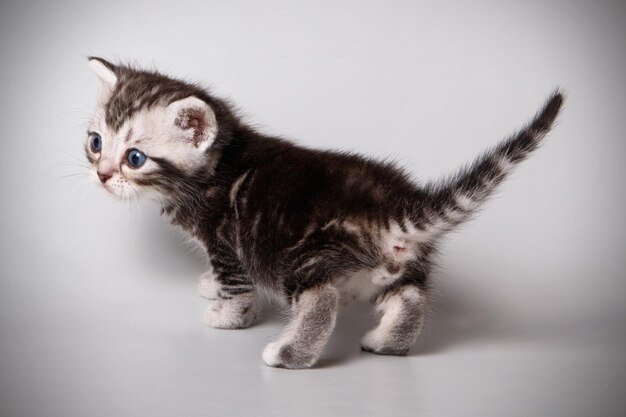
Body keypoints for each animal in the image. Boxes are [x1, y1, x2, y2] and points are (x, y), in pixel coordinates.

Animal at [84, 57, 560, 368]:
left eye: (135, 158)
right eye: (95, 143)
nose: (103, 175)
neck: (217, 166)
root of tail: (394, 208)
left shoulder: (227, 244)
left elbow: (235, 285)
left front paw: (226, 317)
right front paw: (208, 286)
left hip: (299, 258)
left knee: (321, 299)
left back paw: (288, 353)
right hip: (395, 263)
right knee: (409, 297)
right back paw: (387, 344)